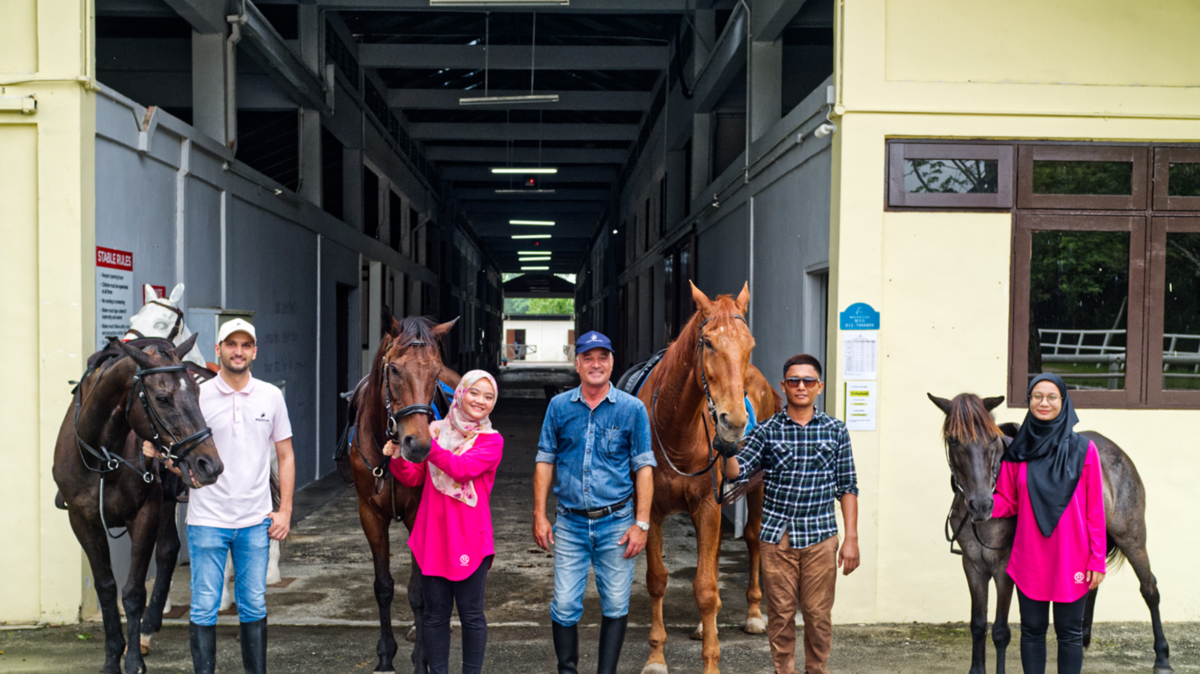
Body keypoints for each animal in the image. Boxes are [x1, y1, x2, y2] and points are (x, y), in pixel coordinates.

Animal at [53, 335, 224, 674]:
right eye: (162, 398)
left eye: (197, 393)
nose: (209, 464)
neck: (102, 457)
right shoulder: (81, 521)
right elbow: (106, 587)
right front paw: (111, 658)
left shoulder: (144, 515)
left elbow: (132, 592)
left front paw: (131, 660)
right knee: (169, 548)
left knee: (168, 551)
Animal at [341, 312, 457, 674]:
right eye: (393, 369)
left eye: (435, 371)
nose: (417, 444)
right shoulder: (369, 514)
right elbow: (383, 587)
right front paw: (384, 657)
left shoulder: (418, 512)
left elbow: (419, 591)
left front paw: (422, 659)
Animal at [632, 281, 782, 674]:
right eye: (708, 342)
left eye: (749, 343)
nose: (734, 422)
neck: (675, 430)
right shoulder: (653, 510)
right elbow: (658, 580)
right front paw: (656, 657)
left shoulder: (707, 506)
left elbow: (705, 588)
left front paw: (711, 661)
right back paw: (705, 625)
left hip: (758, 488)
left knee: (752, 539)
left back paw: (754, 614)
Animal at [928, 392, 1173, 674]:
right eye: (953, 439)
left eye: (991, 439)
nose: (981, 505)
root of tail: (1118, 452)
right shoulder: (973, 566)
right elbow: (978, 625)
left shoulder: (1003, 568)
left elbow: (1000, 631)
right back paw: (1083, 637)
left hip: (1132, 538)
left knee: (1150, 589)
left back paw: (1162, 657)